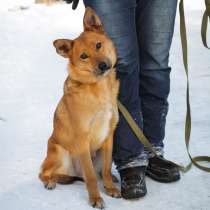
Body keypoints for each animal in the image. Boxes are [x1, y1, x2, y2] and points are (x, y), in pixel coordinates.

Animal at [39, 6, 120, 208]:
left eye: (98, 45)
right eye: (84, 56)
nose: (103, 65)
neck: (98, 88)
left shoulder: (109, 136)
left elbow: (106, 169)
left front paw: (110, 188)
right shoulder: (83, 139)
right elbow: (90, 176)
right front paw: (95, 198)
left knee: (97, 172)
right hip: (60, 151)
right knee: (44, 172)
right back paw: (50, 182)